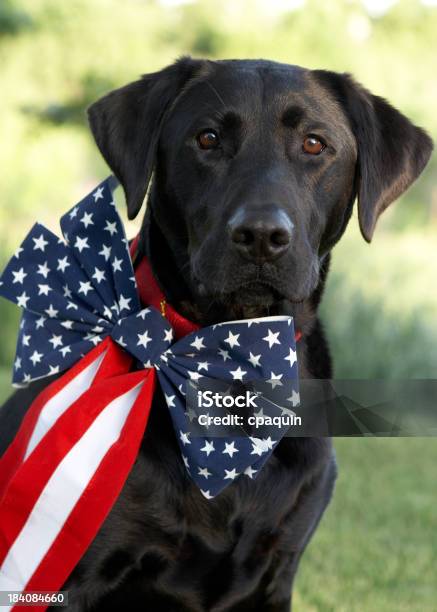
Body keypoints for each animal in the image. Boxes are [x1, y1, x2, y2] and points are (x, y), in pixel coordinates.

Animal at [0, 58, 430, 612]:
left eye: (315, 144)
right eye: (207, 139)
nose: (262, 236)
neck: (232, 361)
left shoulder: (277, 571)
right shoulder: (72, 575)